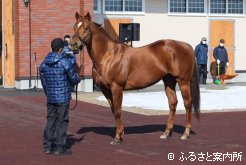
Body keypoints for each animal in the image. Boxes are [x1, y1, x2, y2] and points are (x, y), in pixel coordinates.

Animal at [71, 12, 200, 144]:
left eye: (86, 28)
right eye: (74, 26)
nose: (73, 44)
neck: (108, 56)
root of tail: (186, 46)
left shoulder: (117, 87)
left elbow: (118, 111)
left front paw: (117, 138)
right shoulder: (105, 89)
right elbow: (113, 110)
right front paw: (121, 133)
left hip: (183, 81)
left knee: (187, 103)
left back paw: (185, 134)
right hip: (169, 81)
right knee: (173, 103)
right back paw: (166, 133)